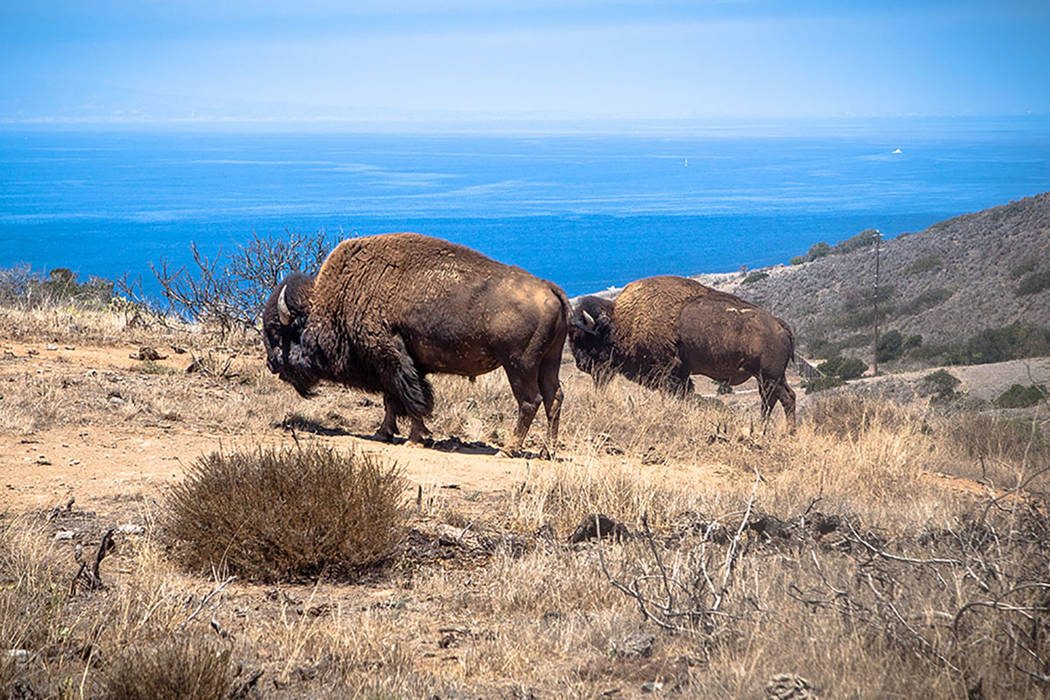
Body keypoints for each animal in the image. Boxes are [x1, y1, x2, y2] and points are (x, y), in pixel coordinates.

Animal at [262, 233, 569, 455]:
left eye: (277, 332)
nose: (271, 364)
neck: (340, 299)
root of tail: (550, 288)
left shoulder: (391, 359)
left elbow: (412, 399)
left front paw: (415, 438)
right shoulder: (394, 366)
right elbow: (393, 399)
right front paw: (384, 433)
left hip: (519, 365)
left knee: (530, 401)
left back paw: (508, 449)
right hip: (548, 361)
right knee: (554, 397)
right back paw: (548, 451)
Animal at [569, 275, 796, 429]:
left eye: (584, 337)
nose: (580, 363)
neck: (621, 321)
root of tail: (780, 325)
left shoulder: (668, 372)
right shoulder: (682, 373)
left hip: (768, 377)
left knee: (775, 401)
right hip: (773, 377)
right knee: (787, 398)